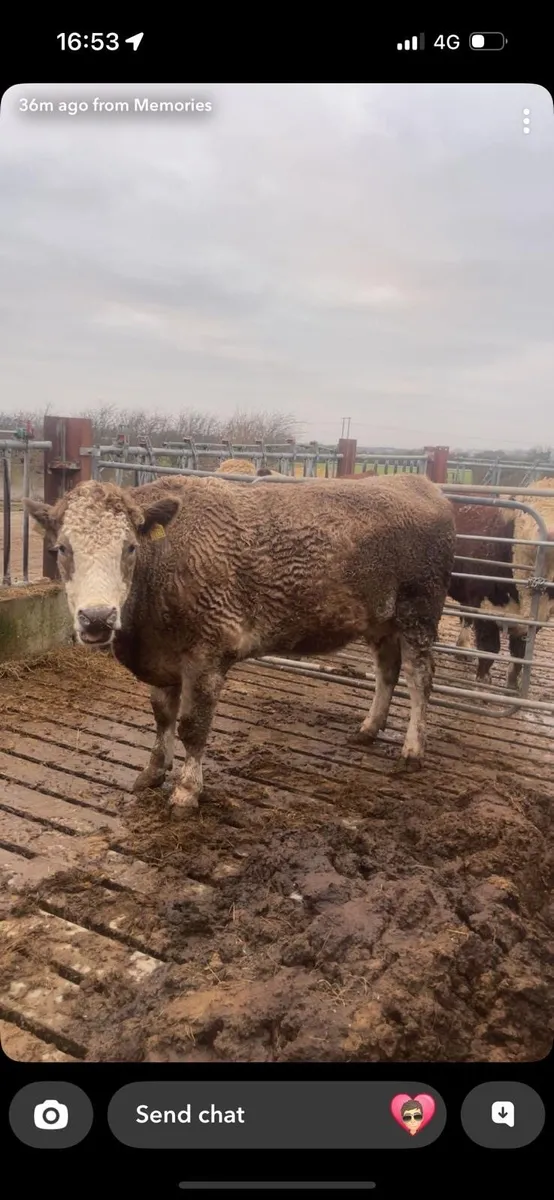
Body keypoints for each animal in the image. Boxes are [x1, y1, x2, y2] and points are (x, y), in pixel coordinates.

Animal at [25, 472, 456, 811]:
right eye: (61, 548)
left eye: (130, 547)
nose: (97, 617)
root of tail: (421, 485)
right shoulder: (163, 660)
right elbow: (162, 717)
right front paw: (152, 772)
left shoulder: (207, 656)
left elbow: (193, 726)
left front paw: (186, 792)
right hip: (381, 620)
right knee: (387, 671)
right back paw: (369, 728)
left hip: (418, 612)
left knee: (420, 677)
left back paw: (412, 750)